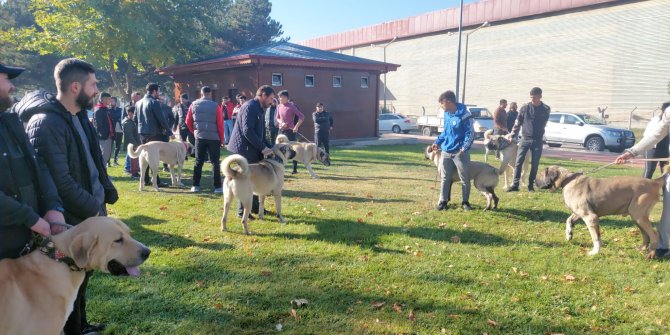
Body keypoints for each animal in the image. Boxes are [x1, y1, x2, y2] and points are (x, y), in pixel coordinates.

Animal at [536, 167, 670, 258]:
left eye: (541, 174)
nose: (534, 181)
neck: (568, 180)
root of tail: (654, 182)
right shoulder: (579, 213)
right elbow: (568, 220)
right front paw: (569, 234)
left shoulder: (590, 217)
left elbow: (595, 237)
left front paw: (595, 252)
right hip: (637, 217)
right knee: (646, 235)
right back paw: (642, 248)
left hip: (638, 215)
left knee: (654, 234)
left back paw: (651, 254)